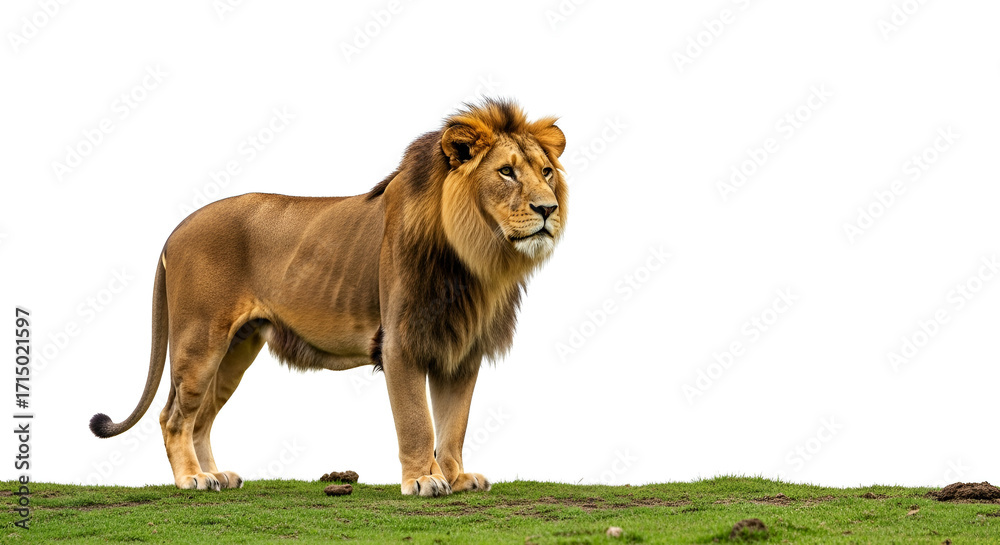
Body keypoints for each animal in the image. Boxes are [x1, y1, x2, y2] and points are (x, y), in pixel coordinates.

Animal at [89, 99, 567, 496]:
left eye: (546, 172)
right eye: (506, 172)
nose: (548, 210)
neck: (476, 258)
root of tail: (177, 228)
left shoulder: (462, 348)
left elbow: (454, 425)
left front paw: (456, 477)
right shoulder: (400, 343)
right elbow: (417, 421)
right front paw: (422, 481)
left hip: (235, 350)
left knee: (201, 417)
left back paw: (216, 475)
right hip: (199, 341)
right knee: (174, 417)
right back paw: (192, 479)